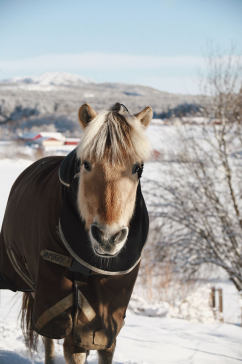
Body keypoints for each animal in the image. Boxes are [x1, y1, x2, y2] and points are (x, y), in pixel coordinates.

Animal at [0, 102, 151, 364]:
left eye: (137, 168)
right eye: (87, 164)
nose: (108, 237)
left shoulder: (108, 309)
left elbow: (104, 346)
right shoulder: (57, 299)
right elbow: (70, 347)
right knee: (49, 339)